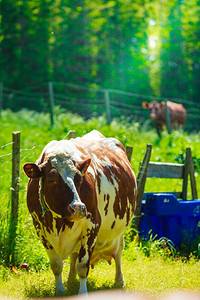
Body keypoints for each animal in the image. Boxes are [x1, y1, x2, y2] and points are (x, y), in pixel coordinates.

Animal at [22, 131, 137, 296]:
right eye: (51, 179)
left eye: (79, 178)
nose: (77, 208)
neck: (59, 221)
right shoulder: (40, 228)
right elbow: (56, 265)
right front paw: (60, 291)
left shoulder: (92, 225)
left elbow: (82, 266)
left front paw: (82, 293)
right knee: (74, 256)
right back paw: (70, 281)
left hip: (120, 232)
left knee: (119, 252)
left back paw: (119, 281)